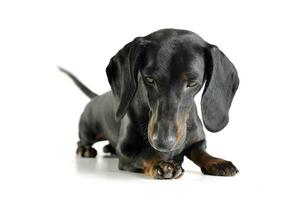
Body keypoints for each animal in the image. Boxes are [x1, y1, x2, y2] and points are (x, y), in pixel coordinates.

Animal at [59, 28, 239, 180]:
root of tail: (95, 97)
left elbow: (200, 151)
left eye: (192, 83)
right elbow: (146, 154)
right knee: (82, 141)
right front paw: (162, 163)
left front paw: (216, 161)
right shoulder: (126, 151)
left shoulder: (198, 140)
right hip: (89, 131)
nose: (163, 142)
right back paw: (86, 149)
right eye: (149, 79)